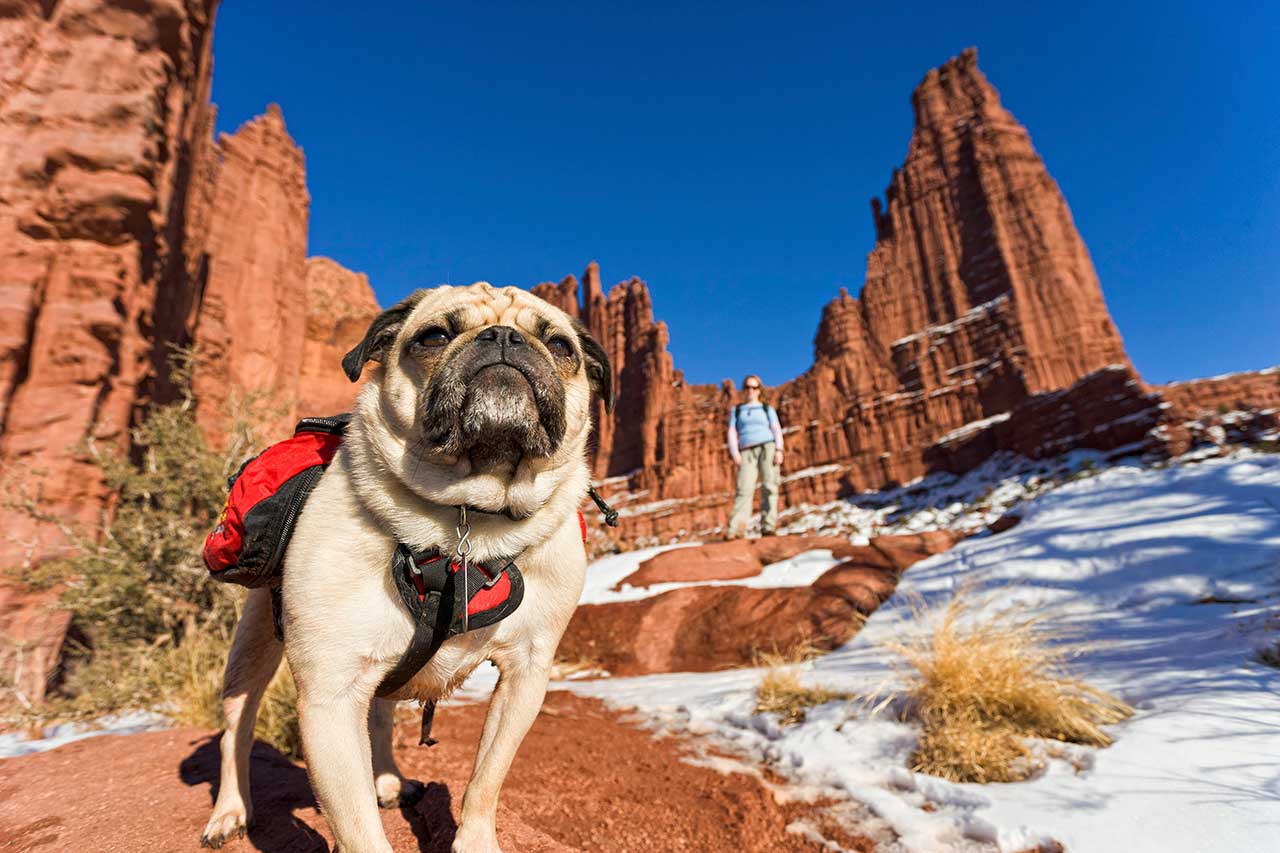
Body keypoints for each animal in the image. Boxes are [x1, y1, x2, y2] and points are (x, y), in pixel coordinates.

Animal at [200, 281, 614, 845]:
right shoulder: (329, 697)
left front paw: (475, 841)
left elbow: (486, 780)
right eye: (433, 337)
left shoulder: (527, 673)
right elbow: (358, 829)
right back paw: (229, 811)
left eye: (560, 346)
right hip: (255, 645)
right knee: (236, 729)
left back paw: (388, 779)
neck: (468, 520)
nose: (504, 337)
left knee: (379, 716)